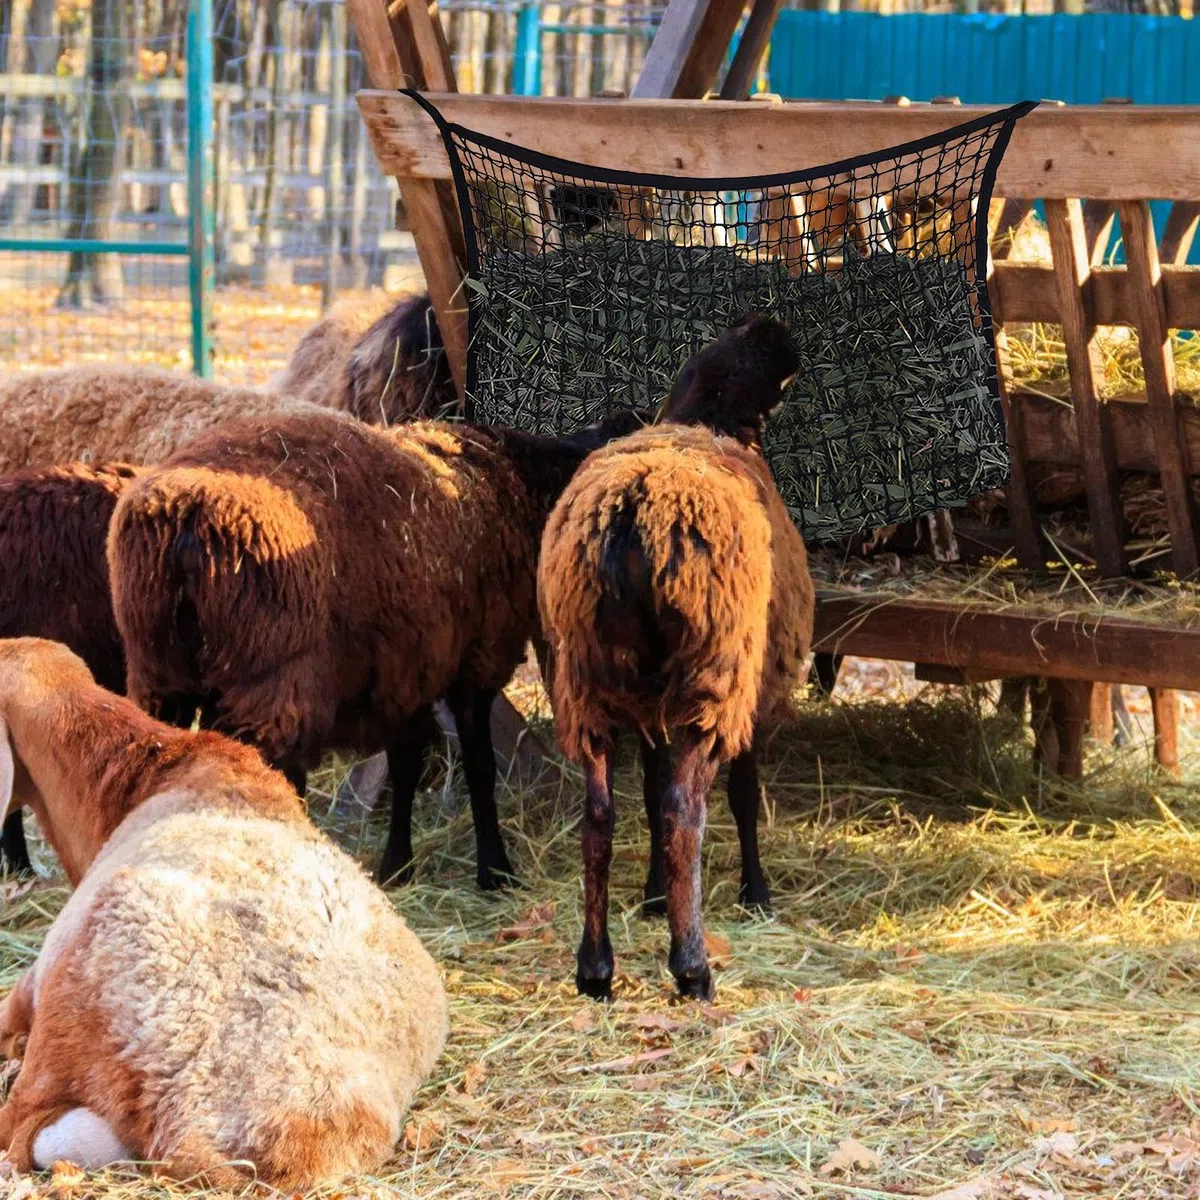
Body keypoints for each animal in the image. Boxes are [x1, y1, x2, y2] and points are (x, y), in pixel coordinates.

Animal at [107, 407, 646, 891]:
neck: (516, 483)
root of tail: (187, 517)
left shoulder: (408, 670)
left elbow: (407, 766)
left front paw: (397, 867)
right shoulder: (474, 660)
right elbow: (478, 766)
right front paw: (494, 870)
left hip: (160, 674)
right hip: (272, 682)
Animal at [537, 315, 814, 1001]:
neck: (707, 414)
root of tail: (635, 513)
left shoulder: (649, 705)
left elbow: (649, 783)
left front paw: (655, 895)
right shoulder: (751, 686)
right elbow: (742, 793)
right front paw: (755, 894)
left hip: (588, 680)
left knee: (600, 816)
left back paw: (595, 969)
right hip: (714, 675)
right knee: (684, 809)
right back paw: (692, 968)